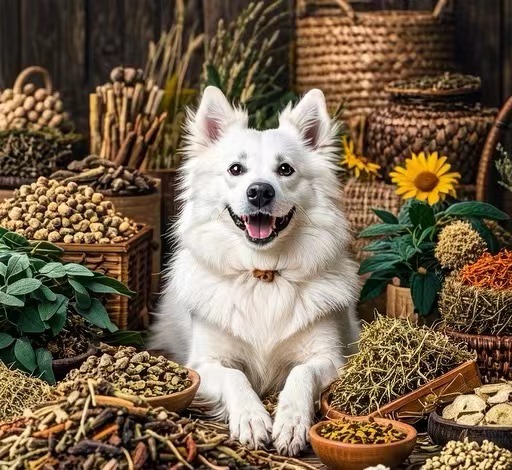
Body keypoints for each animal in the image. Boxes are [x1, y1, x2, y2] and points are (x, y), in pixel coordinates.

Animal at [151, 87, 360, 456]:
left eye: (285, 169)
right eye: (236, 169)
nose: (260, 191)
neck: (263, 274)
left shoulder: (329, 359)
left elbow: (300, 375)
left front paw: (291, 423)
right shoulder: (205, 364)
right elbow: (236, 378)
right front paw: (252, 418)